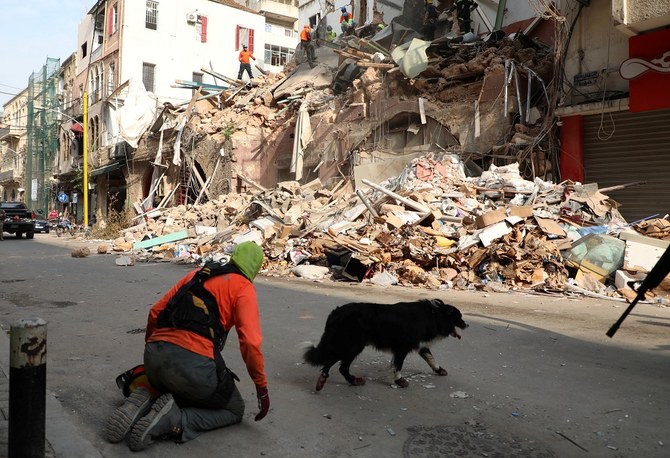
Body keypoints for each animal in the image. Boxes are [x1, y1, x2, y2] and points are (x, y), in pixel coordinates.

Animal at [304, 300, 468, 390]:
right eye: (459, 317)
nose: (467, 325)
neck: (434, 314)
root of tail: (336, 312)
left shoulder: (420, 345)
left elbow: (431, 358)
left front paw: (439, 370)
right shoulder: (402, 348)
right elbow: (398, 366)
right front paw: (400, 381)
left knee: (336, 364)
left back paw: (349, 381)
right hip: (352, 345)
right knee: (336, 364)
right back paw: (327, 380)